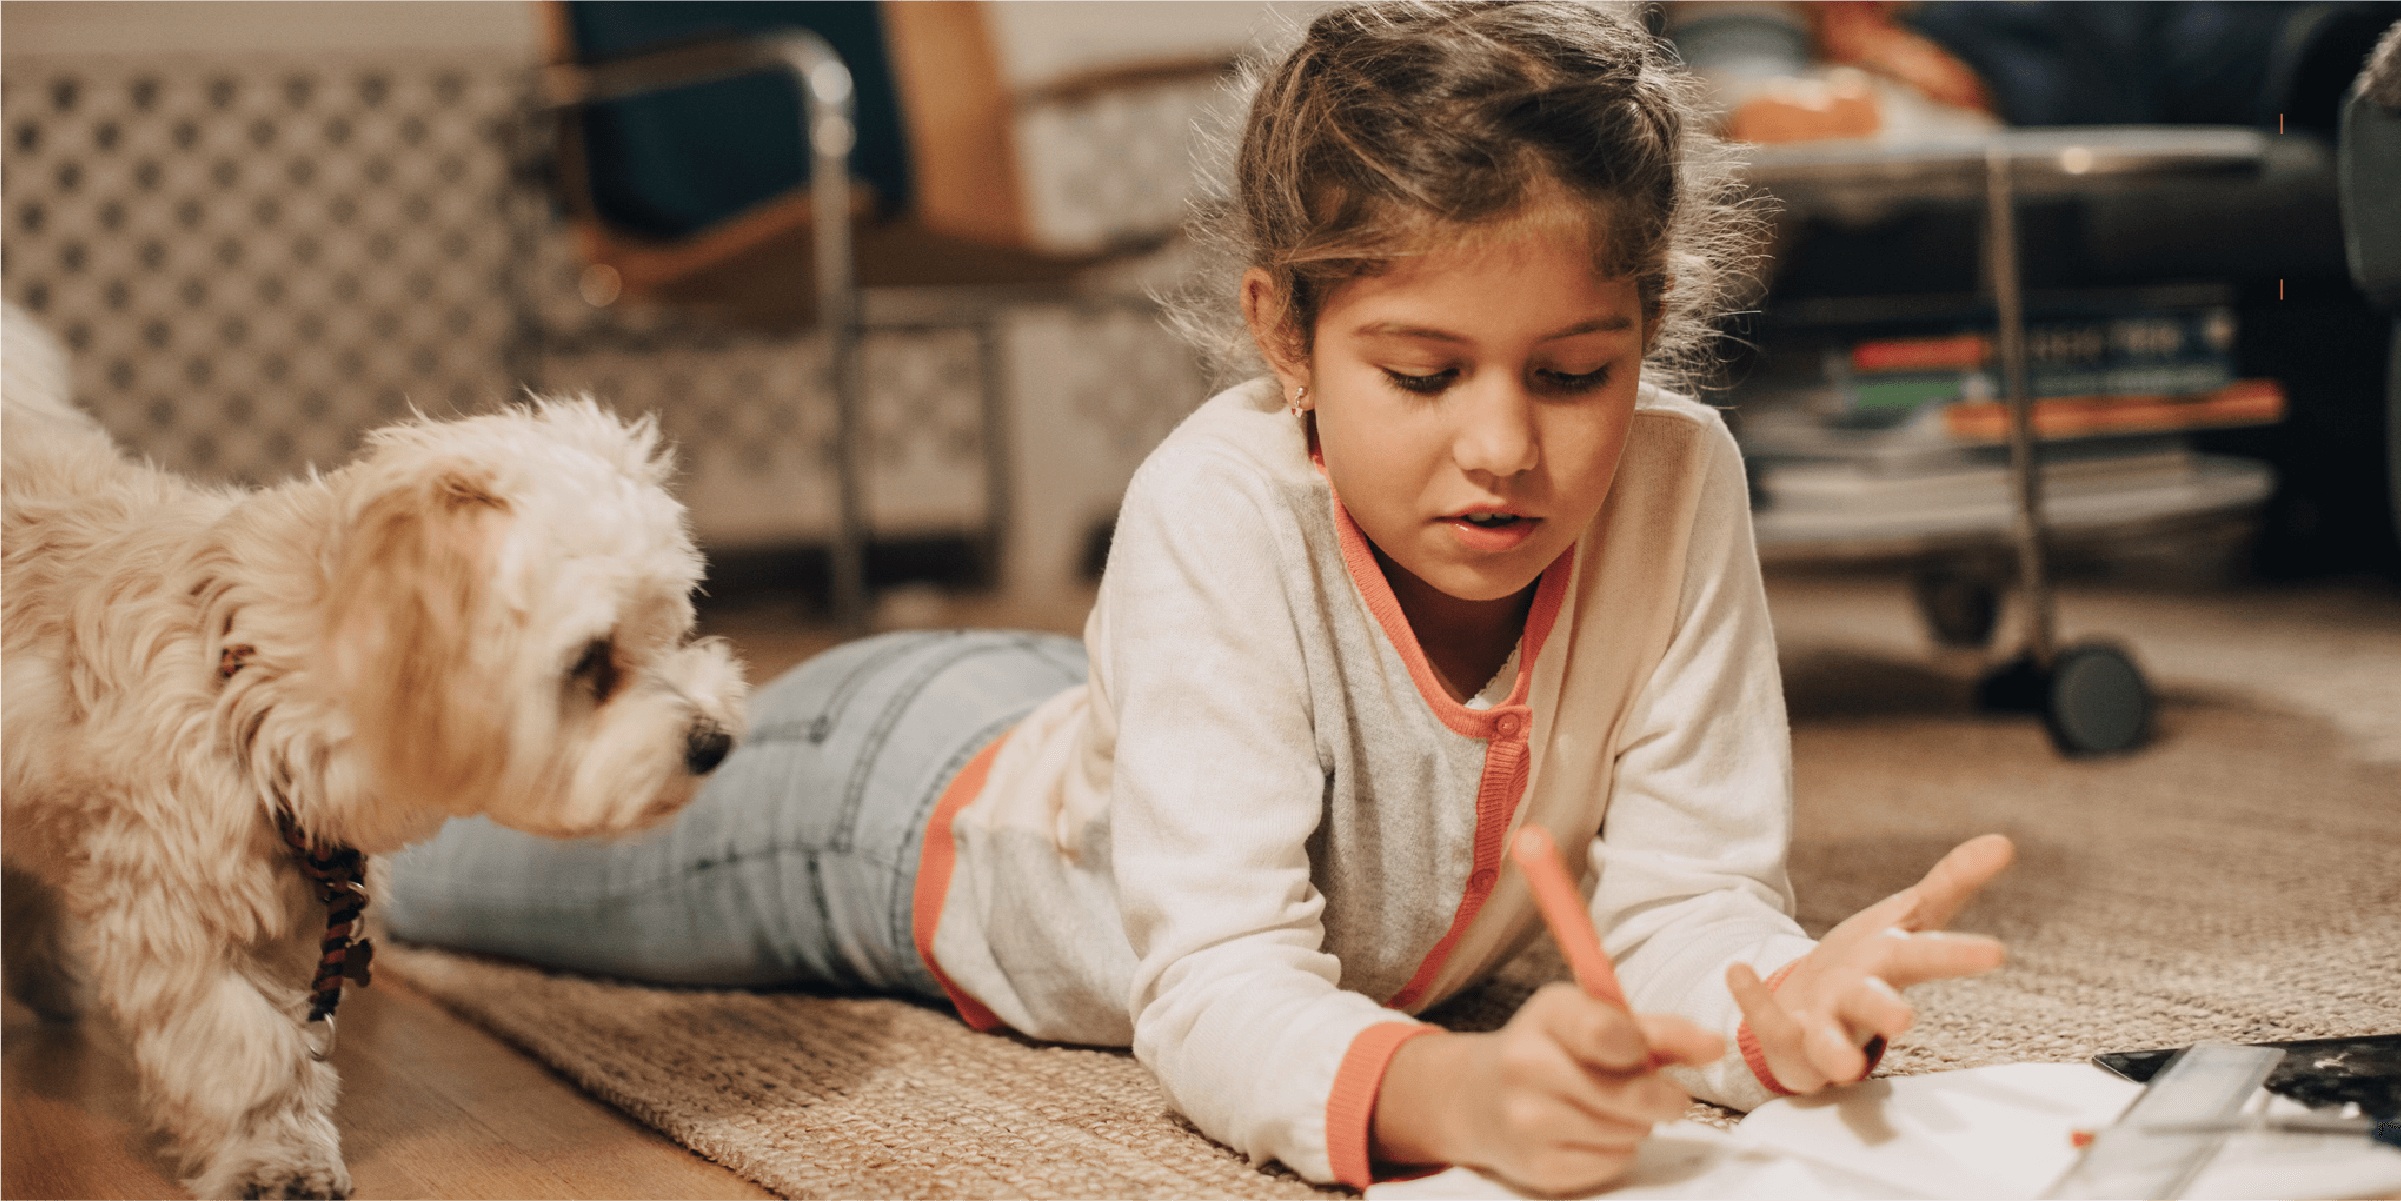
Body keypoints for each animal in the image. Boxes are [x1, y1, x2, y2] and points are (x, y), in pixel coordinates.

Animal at [0, 302, 744, 1201]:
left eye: (674, 622)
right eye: (590, 661)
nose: (715, 739)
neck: (244, 690)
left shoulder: (290, 926)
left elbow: (287, 1046)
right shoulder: (178, 916)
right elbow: (244, 1050)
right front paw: (272, 1157)